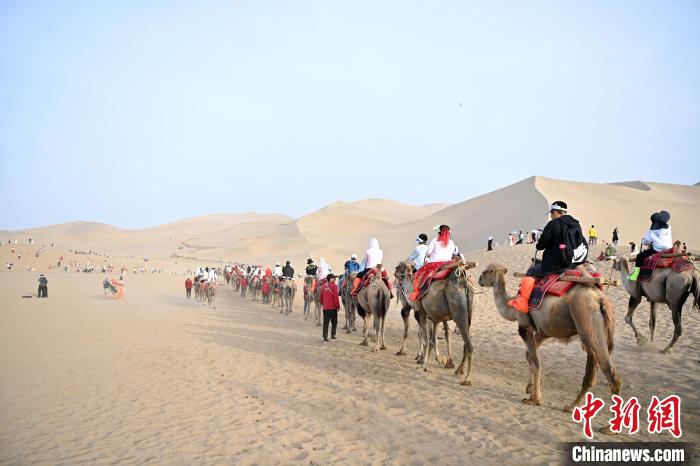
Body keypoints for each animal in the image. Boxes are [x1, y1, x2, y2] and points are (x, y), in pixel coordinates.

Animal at [478, 264, 620, 410]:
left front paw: (534, 399)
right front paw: (529, 389)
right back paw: (571, 406)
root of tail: (601, 299)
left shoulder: (525, 327)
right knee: (591, 370)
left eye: (485, 272)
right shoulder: (543, 332)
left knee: (609, 371)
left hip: (587, 318)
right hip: (592, 330)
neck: (512, 305)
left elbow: (536, 361)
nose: (479, 280)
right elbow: (529, 356)